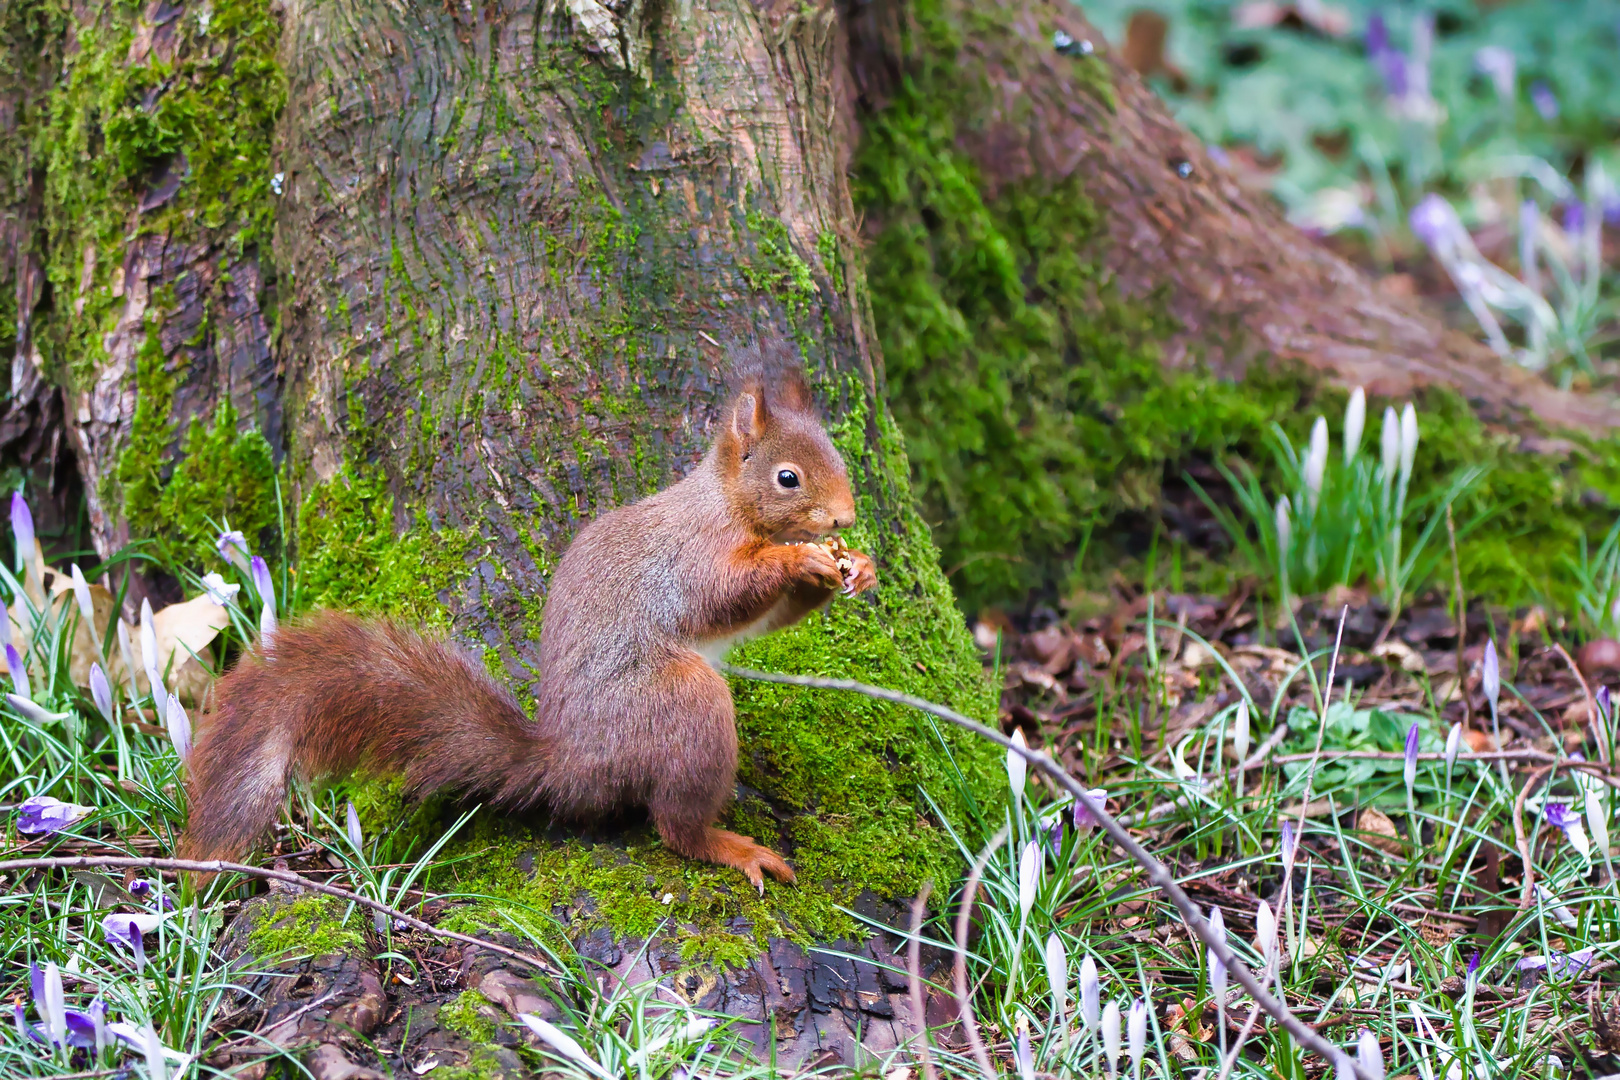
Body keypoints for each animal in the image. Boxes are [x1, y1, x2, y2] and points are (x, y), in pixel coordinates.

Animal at [180, 369, 874, 887]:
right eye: (787, 477)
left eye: (839, 459)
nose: (846, 516)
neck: (726, 504)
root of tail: (570, 762)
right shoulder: (690, 557)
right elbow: (723, 595)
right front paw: (799, 560)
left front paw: (855, 567)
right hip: (679, 702)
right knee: (675, 826)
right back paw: (730, 846)